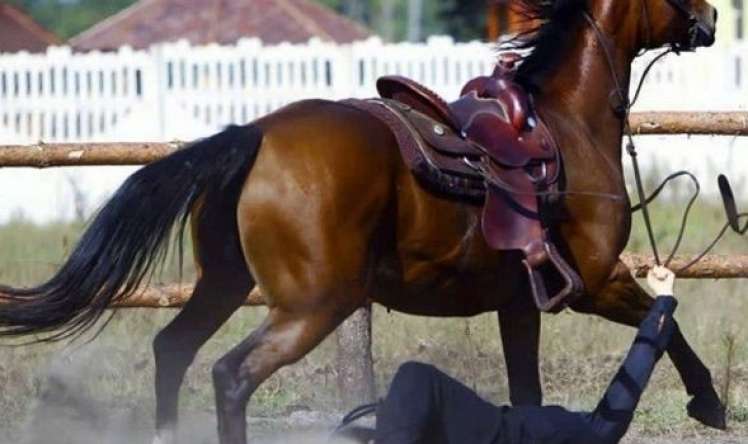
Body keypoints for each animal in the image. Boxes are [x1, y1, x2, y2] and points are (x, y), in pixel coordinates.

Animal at [1, 0, 724, 444]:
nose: (712, 15)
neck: (564, 124)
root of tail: (255, 135)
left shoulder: (520, 305)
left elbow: (527, 389)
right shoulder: (597, 283)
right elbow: (670, 323)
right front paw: (708, 402)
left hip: (226, 285)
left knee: (173, 350)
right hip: (312, 305)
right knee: (230, 375)